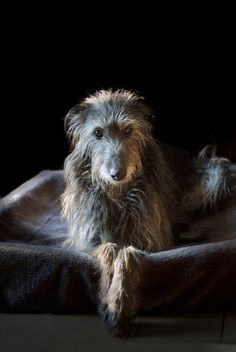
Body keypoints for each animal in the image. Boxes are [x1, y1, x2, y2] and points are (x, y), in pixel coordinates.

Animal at [60, 88, 234, 336]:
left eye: (128, 130)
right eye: (97, 132)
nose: (117, 173)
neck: (119, 194)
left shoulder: (148, 239)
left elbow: (127, 256)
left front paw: (119, 307)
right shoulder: (87, 240)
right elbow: (109, 249)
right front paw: (109, 301)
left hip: (215, 174)